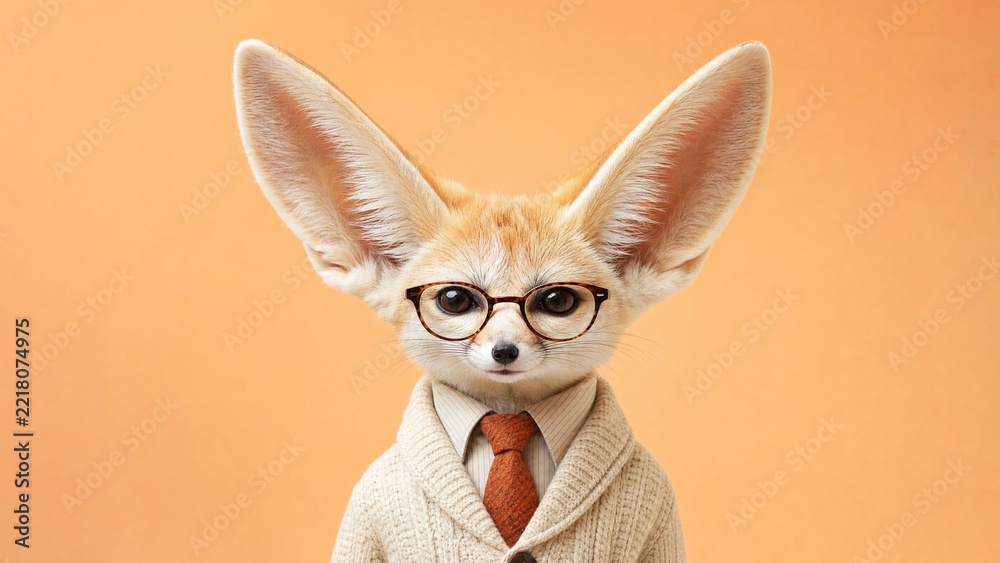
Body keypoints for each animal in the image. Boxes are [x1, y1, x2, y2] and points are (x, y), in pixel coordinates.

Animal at [234, 39, 770, 562]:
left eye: (558, 302)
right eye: (454, 300)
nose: (505, 351)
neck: (509, 422)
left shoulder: (657, 509)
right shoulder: (369, 508)